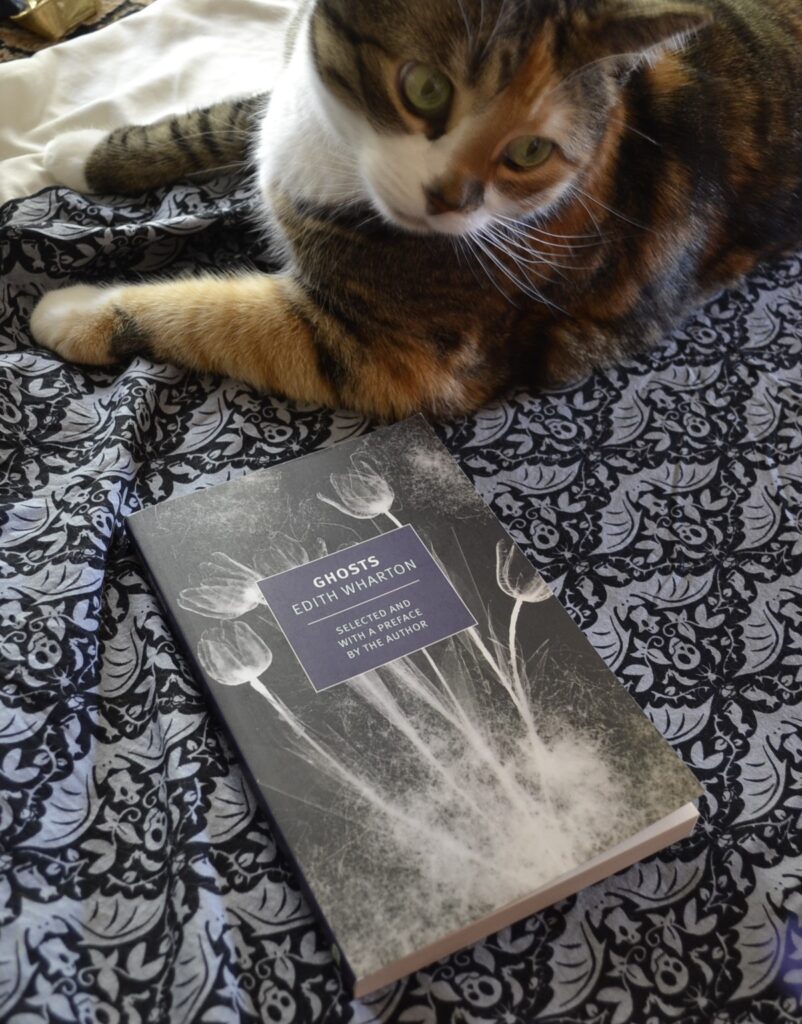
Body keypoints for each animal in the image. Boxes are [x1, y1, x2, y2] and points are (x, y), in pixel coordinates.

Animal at [28, 1, 802, 419]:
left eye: (530, 152)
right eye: (425, 88)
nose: (448, 199)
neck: (339, 153)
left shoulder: (387, 353)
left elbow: (214, 317)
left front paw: (77, 314)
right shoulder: (289, 90)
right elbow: (221, 120)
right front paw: (80, 151)